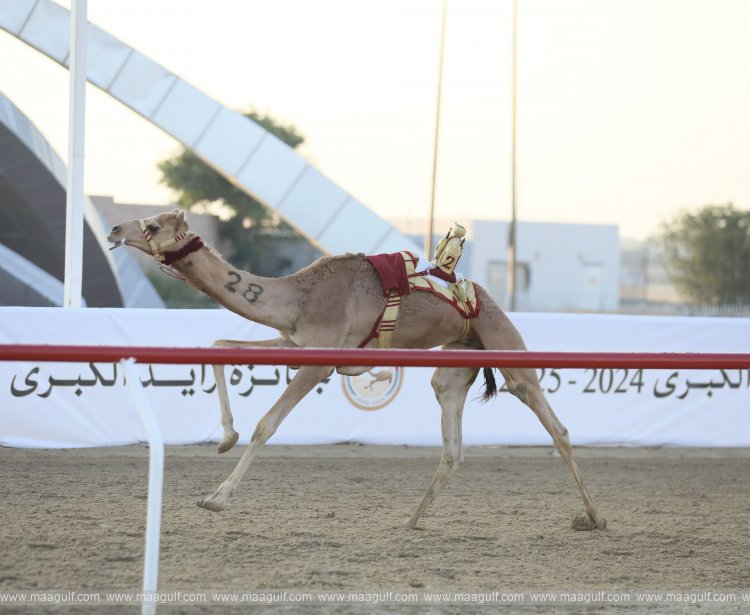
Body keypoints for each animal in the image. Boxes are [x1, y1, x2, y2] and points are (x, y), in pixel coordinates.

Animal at [107, 209, 606, 530]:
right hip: (456, 361)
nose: (114, 228)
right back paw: (410, 520)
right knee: (452, 443)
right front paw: (225, 439)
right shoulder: (293, 341)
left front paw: (216, 498)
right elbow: (216, 346)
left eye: (153, 224)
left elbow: (267, 423)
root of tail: (481, 297)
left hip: (506, 346)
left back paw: (595, 517)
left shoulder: (321, 361)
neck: (299, 295)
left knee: (555, 425)